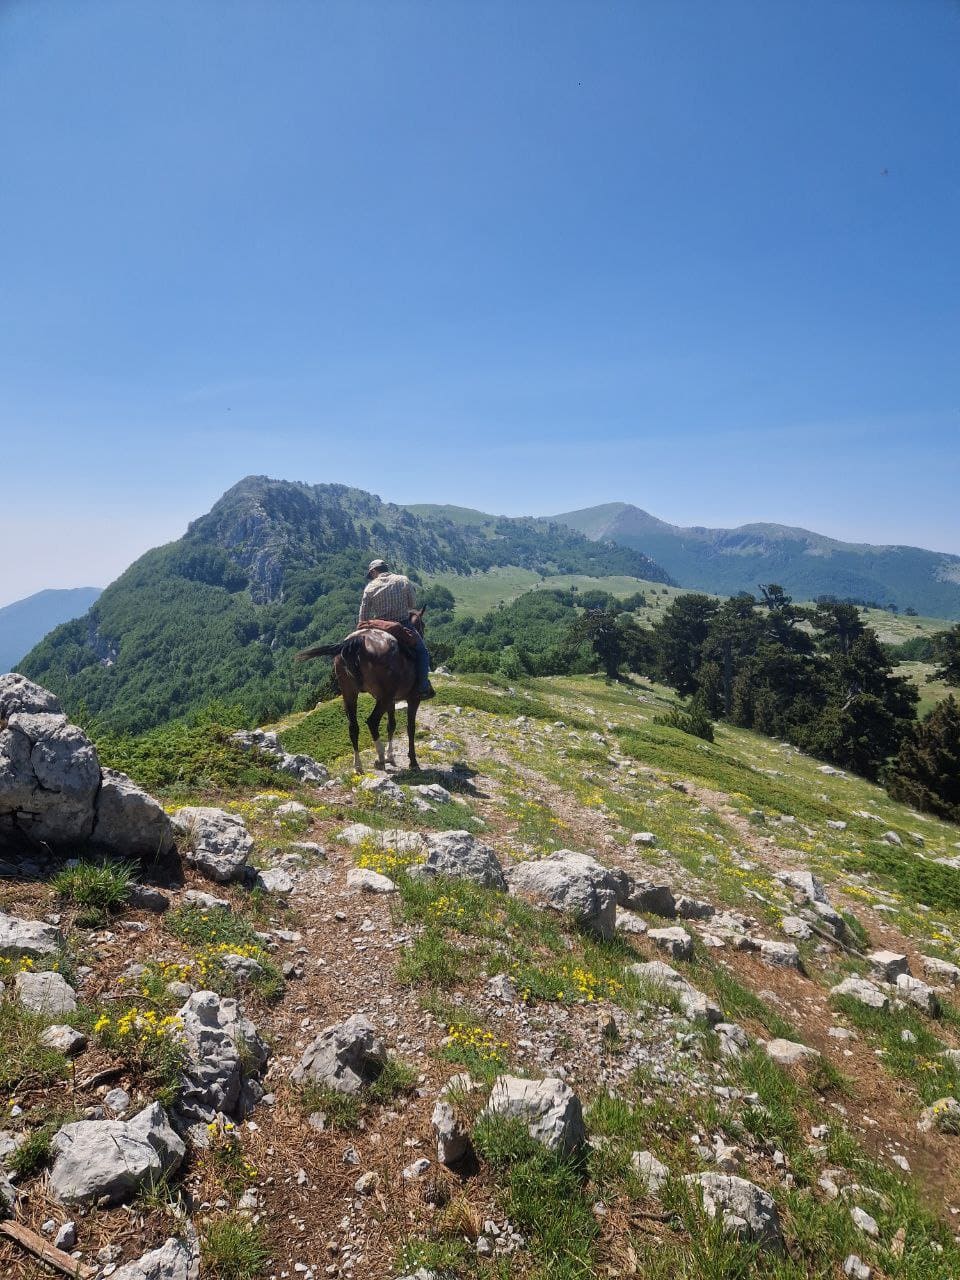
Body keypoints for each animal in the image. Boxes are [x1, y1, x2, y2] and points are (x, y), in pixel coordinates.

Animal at [294, 608, 426, 774]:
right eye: (422, 625)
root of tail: (357, 641)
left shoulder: (392, 701)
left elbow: (391, 725)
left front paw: (391, 756)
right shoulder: (413, 698)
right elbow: (410, 727)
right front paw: (412, 762)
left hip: (350, 693)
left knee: (353, 727)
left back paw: (358, 765)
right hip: (384, 697)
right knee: (372, 722)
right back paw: (380, 758)